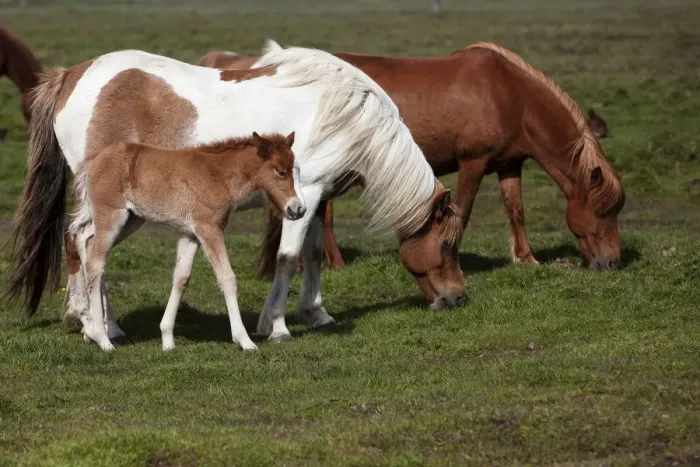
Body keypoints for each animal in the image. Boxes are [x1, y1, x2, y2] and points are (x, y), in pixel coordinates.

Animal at [73, 132, 303, 351]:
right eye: (281, 172)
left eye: (296, 170)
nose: (298, 209)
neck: (218, 174)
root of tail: (95, 160)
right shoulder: (209, 228)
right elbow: (227, 278)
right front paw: (245, 341)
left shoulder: (190, 234)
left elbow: (181, 278)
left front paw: (167, 340)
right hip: (112, 217)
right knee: (95, 263)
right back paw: (102, 338)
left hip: (130, 220)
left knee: (83, 237)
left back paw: (90, 331)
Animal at [197, 43, 625, 275]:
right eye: (604, 212)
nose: (612, 263)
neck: (509, 93)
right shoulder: (473, 163)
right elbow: (463, 211)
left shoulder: (508, 164)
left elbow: (515, 210)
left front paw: (526, 259)